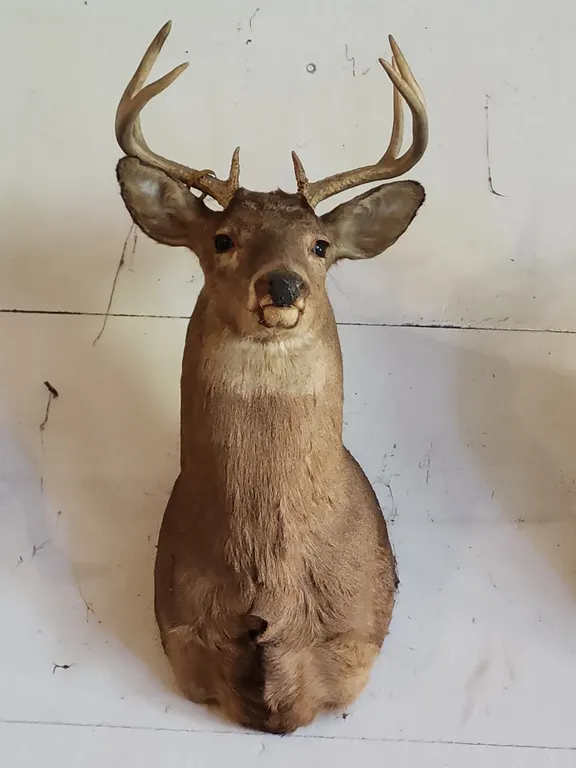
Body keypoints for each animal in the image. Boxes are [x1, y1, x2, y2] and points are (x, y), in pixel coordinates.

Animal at [114, 21, 428, 734]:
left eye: (320, 245)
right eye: (223, 238)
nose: (282, 285)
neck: (270, 576)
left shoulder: (353, 637)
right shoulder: (182, 627)